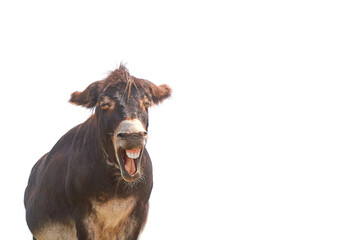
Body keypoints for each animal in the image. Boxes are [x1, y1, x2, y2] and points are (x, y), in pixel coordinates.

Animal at [24, 65, 172, 240]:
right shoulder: (83, 215)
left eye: (146, 104)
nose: (133, 135)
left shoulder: (137, 214)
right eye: (105, 104)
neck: (117, 188)